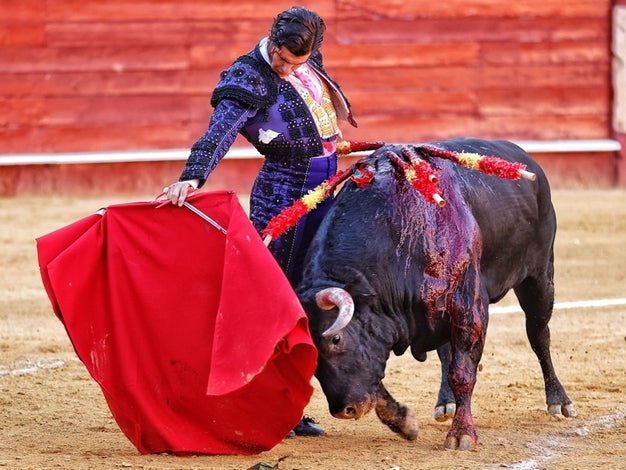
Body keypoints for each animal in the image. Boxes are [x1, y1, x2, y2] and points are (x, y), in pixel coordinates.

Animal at [296, 137, 576, 452]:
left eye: (336, 339)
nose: (345, 410)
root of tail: (527, 160)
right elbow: (378, 372)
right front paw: (403, 421)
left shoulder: (468, 306)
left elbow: (463, 371)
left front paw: (462, 435)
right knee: (446, 351)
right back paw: (446, 402)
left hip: (540, 276)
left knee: (539, 334)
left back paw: (559, 402)